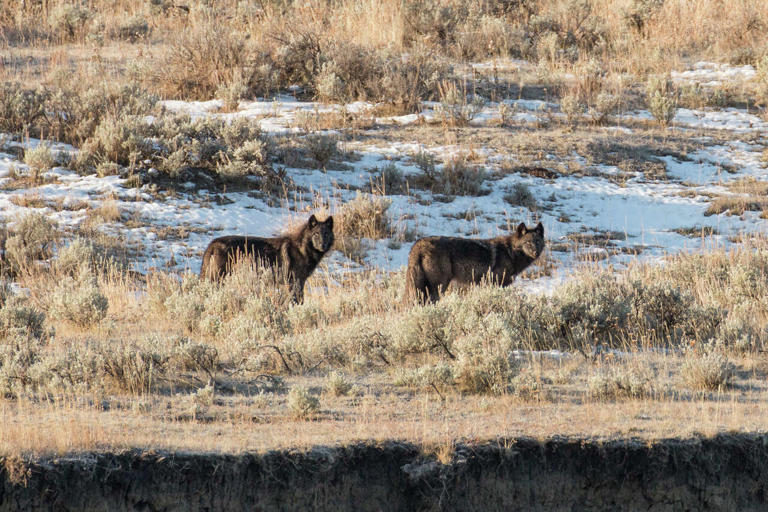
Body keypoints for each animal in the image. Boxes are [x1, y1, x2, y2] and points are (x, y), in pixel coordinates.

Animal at [199, 215, 334, 303]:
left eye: (326, 234)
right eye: (316, 234)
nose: (323, 245)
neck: (302, 248)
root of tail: (213, 243)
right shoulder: (295, 282)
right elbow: (297, 301)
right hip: (217, 279)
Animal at [404, 222, 545, 303]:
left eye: (537, 242)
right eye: (528, 242)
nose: (536, 252)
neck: (510, 251)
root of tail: (417, 244)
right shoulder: (495, 284)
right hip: (439, 286)